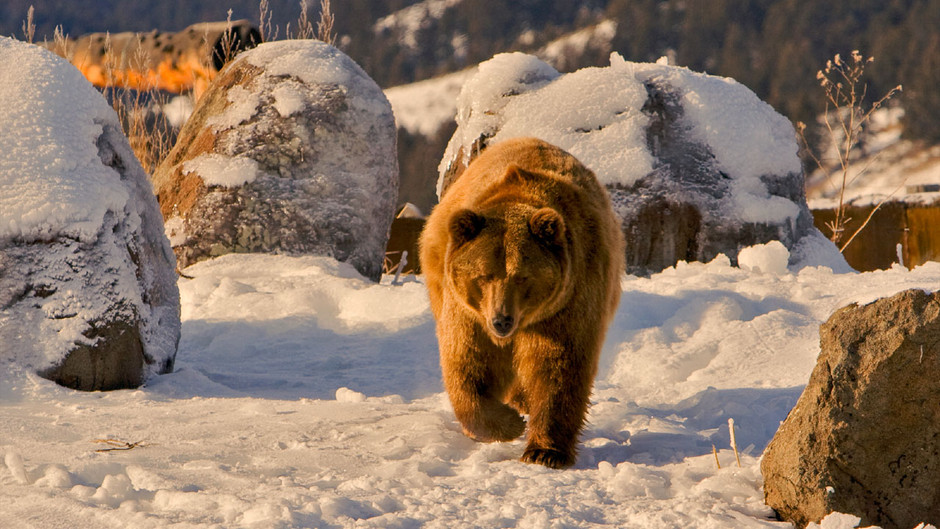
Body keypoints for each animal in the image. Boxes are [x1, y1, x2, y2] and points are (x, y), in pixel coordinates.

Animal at [419, 137, 625, 469]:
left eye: (522, 276)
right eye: (483, 275)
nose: (502, 320)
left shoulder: (568, 302)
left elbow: (557, 368)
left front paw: (545, 451)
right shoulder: (469, 313)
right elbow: (468, 363)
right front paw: (508, 423)